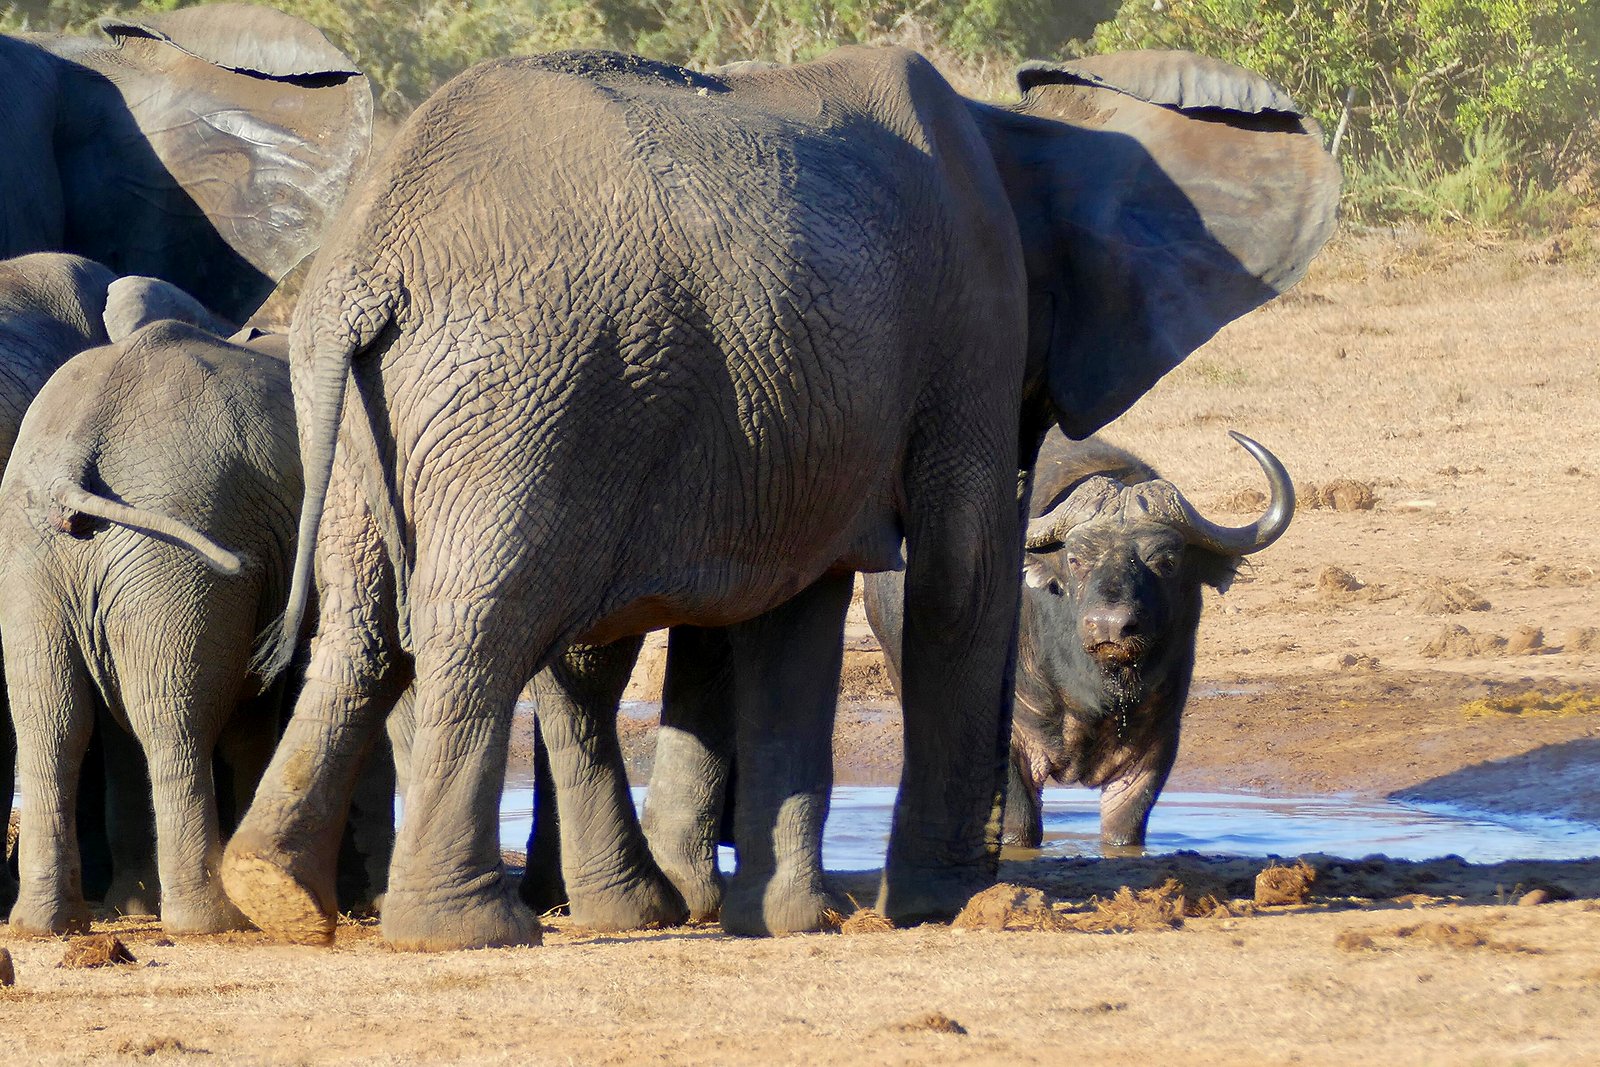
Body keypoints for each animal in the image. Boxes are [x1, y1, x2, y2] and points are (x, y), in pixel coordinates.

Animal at [219, 46, 1338, 951]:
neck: (1018, 132)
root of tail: (366, 269)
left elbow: (793, 610)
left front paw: (794, 917)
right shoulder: (968, 322)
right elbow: (955, 577)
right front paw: (943, 904)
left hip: (382, 414)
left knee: (367, 627)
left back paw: (276, 891)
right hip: (522, 388)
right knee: (482, 621)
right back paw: (467, 928)